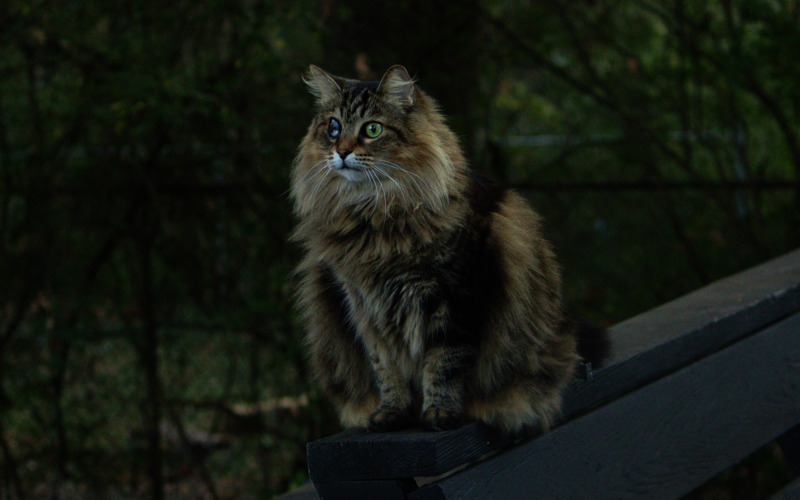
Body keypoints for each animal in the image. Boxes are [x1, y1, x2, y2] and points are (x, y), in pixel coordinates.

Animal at [290, 64, 600, 432]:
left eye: (372, 129)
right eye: (333, 128)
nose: (341, 152)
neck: (375, 219)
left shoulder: (453, 300)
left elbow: (444, 364)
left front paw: (439, 413)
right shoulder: (366, 309)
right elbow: (386, 368)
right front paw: (392, 412)